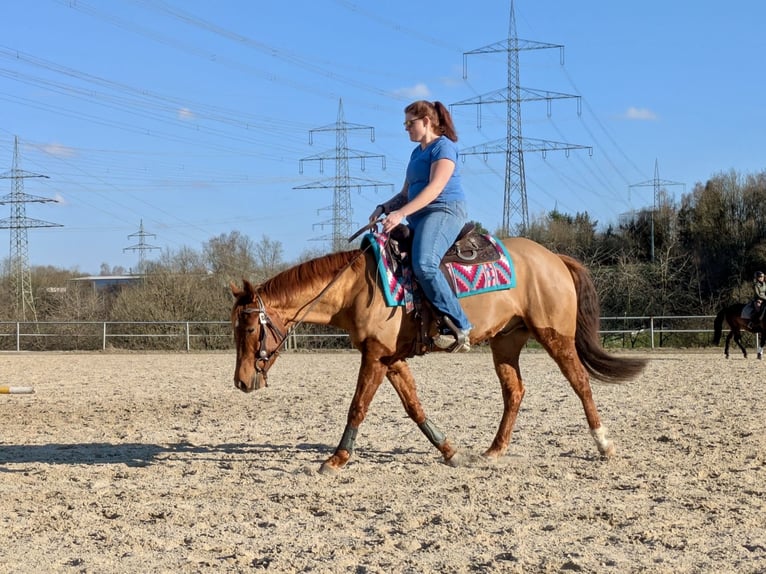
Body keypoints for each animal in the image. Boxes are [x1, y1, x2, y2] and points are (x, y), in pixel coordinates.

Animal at [230, 235, 648, 473]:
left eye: (249, 328)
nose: (241, 381)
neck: (357, 288)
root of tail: (555, 258)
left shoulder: (374, 357)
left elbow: (357, 407)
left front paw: (335, 460)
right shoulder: (389, 359)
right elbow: (414, 407)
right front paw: (450, 452)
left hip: (554, 336)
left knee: (580, 382)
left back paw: (604, 445)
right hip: (506, 342)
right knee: (514, 392)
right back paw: (492, 453)